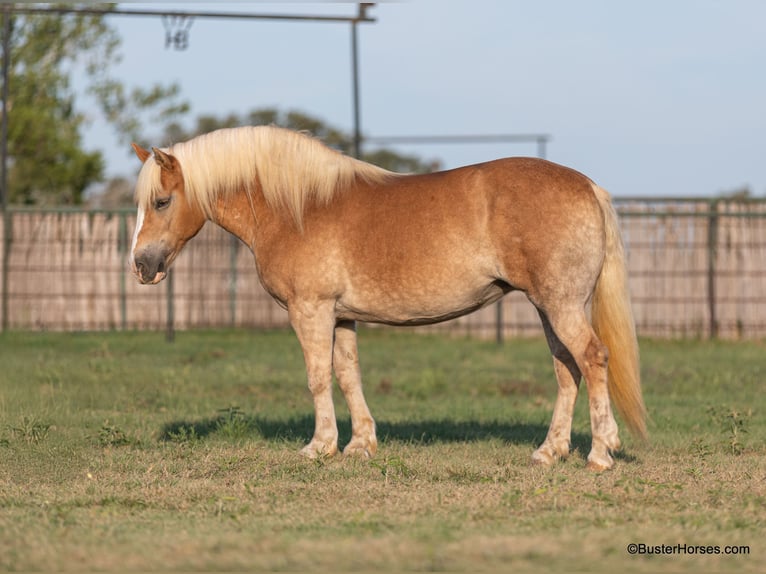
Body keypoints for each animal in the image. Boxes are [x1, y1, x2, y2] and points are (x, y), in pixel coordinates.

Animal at [132, 126, 648, 472]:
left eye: (161, 202)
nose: (141, 265)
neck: (298, 208)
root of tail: (588, 186)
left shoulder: (310, 309)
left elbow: (318, 377)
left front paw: (319, 446)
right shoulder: (340, 316)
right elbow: (347, 375)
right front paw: (360, 444)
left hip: (561, 304)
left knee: (592, 358)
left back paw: (601, 452)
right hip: (548, 306)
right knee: (567, 369)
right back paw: (549, 451)